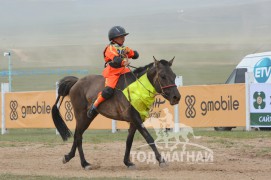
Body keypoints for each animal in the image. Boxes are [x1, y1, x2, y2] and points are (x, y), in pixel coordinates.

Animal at [52, 57, 182, 169]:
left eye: (174, 75)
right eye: (163, 76)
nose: (176, 97)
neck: (137, 88)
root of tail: (77, 82)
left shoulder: (134, 121)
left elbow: (129, 141)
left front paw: (127, 162)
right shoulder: (135, 119)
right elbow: (148, 137)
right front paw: (161, 160)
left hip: (89, 117)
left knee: (78, 135)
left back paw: (68, 157)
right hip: (81, 115)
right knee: (78, 136)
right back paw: (84, 163)